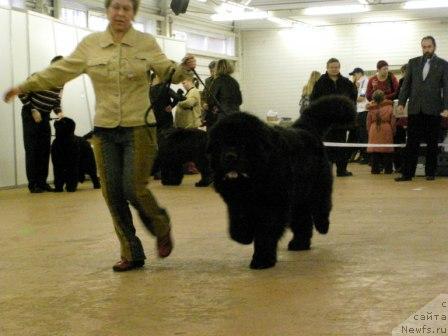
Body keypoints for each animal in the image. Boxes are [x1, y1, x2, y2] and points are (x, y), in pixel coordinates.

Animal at [207, 96, 356, 270]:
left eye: (243, 143)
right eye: (221, 143)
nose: (230, 157)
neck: (253, 176)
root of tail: (304, 129)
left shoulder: (274, 205)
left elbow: (266, 232)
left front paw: (262, 259)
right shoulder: (237, 202)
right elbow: (238, 223)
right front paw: (243, 236)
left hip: (317, 188)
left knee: (322, 207)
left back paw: (323, 226)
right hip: (298, 200)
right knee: (302, 220)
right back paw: (299, 244)